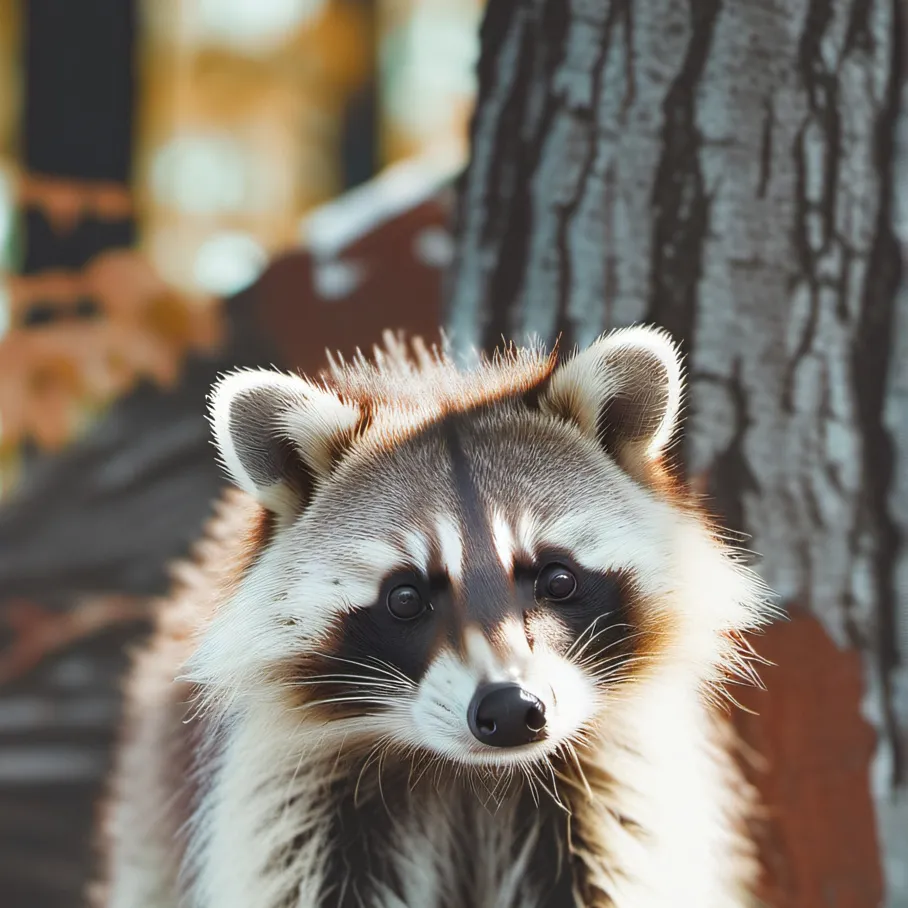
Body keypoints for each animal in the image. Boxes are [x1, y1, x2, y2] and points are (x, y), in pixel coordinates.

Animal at [95, 326, 773, 908]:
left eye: (557, 579)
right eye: (405, 598)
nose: (511, 709)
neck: (472, 775)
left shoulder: (618, 797)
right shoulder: (289, 807)